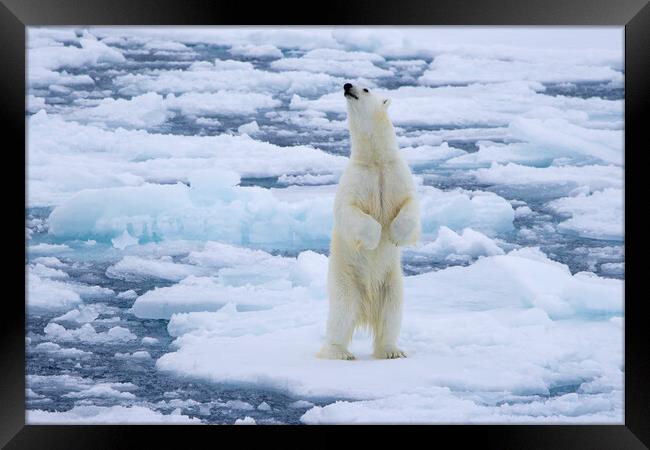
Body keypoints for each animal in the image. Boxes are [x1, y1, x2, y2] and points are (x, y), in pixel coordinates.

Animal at [316, 82, 418, 360]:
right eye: (354, 84)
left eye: (366, 89)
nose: (347, 85)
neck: (376, 160)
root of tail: (367, 308)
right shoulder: (357, 179)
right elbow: (348, 210)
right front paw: (374, 238)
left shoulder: (395, 174)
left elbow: (410, 204)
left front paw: (395, 235)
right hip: (345, 281)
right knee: (341, 315)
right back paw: (339, 352)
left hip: (392, 283)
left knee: (391, 314)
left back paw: (392, 350)